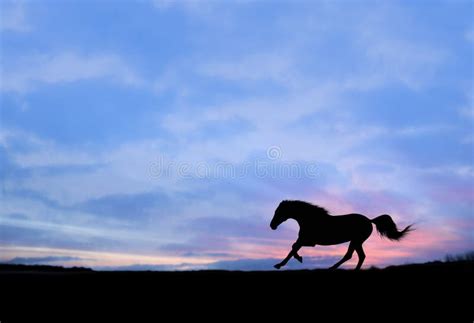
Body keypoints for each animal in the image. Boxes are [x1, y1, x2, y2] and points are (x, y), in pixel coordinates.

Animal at [270, 200, 412, 270]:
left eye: (278, 212)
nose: (272, 226)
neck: (311, 220)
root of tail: (369, 220)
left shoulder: (309, 241)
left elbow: (293, 247)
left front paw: (295, 260)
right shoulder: (305, 240)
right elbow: (293, 248)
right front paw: (280, 264)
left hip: (356, 240)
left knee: (351, 255)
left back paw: (333, 268)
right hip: (357, 241)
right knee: (359, 256)